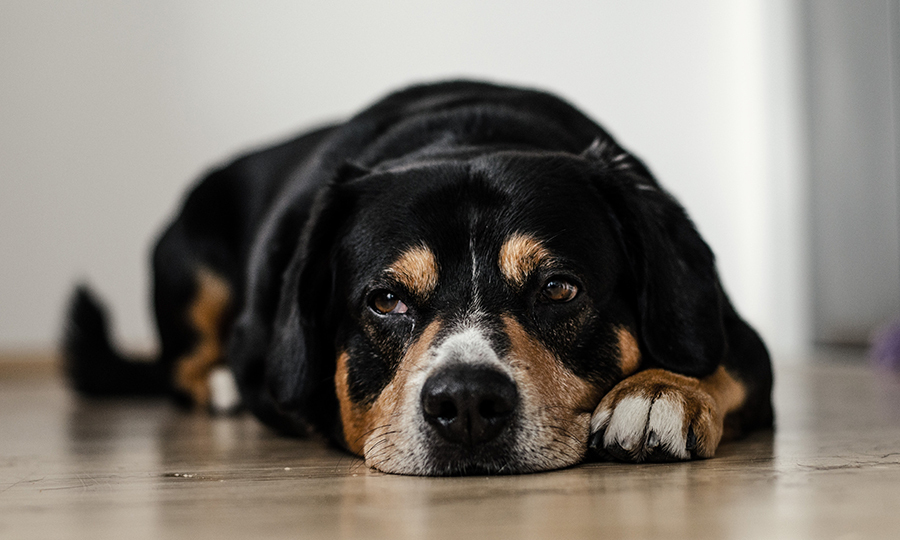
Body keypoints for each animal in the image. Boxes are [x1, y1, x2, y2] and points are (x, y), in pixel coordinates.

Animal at [63, 81, 768, 476]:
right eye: (386, 300)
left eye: (558, 289)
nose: (467, 404)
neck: (467, 136)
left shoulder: (736, 334)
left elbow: (720, 363)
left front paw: (658, 393)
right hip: (191, 264)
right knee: (181, 364)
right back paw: (220, 385)